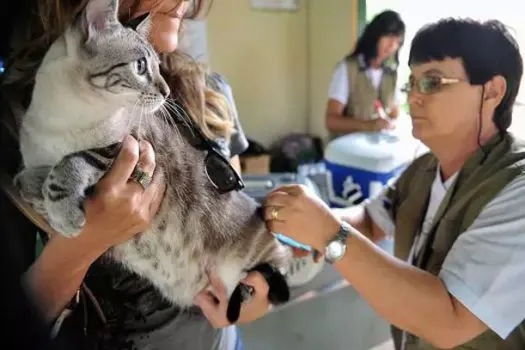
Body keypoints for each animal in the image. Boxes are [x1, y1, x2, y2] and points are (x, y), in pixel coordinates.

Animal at [14, 0, 292, 314]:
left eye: (159, 67)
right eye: (140, 66)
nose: (167, 91)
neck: (66, 118)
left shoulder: (131, 147)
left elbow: (73, 161)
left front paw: (64, 212)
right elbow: (28, 181)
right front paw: (41, 192)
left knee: (277, 275)